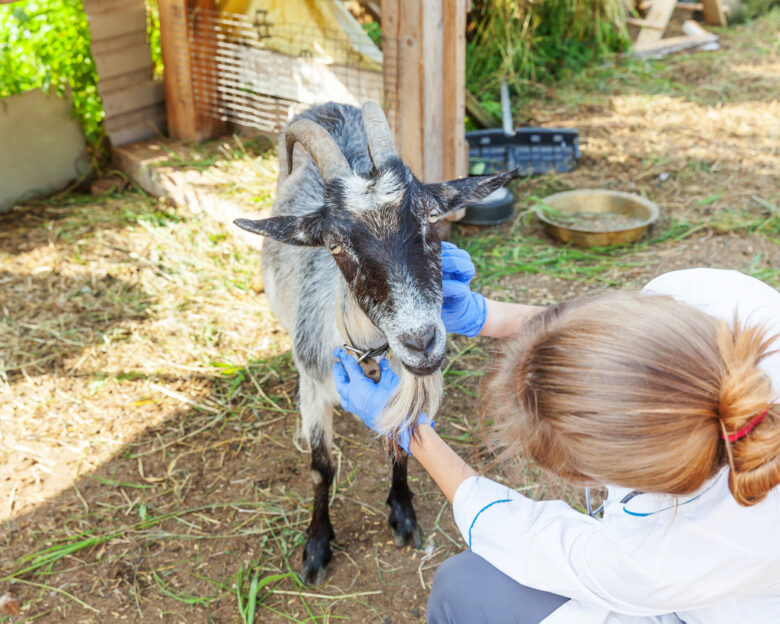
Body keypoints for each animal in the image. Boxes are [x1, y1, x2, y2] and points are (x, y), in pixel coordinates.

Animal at [238, 101, 516, 584]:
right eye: (333, 243)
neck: (365, 351)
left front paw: (402, 515)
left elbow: (402, 447)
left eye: (431, 217)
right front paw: (317, 546)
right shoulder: (313, 388)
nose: (421, 341)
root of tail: (328, 104)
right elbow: (322, 467)